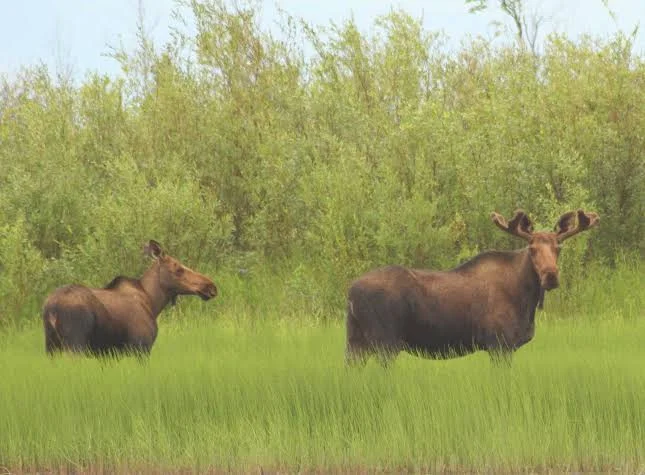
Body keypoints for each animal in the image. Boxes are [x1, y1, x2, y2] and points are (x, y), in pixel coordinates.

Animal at [344, 210, 600, 366]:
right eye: (532, 249)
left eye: (559, 248)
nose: (551, 276)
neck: (526, 301)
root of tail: (350, 293)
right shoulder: (499, 345)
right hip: (385, 342)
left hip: (355, 341)